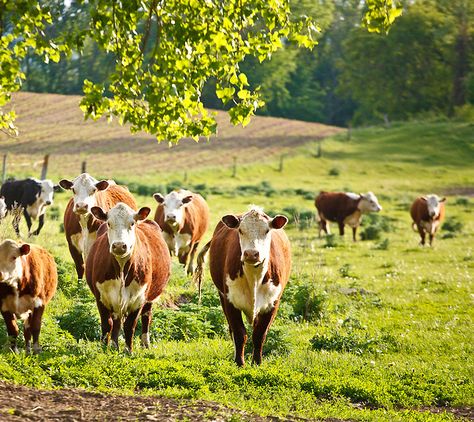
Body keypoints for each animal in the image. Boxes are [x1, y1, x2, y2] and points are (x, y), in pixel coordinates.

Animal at [86, 203, 171, 352]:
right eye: (109, 223)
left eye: (132, 223)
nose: (119, 246)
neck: (121, 269)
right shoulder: (101, 297)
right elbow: (107, 324)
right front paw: (104, 349)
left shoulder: (139, 298)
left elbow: (130, 325)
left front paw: (128, 351)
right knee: (116, 321)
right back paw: (114, 345)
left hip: (150, 298)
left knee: (146, 317)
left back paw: (145, 343)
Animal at [194, 207, 290, 366]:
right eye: (240, 230)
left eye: (267, 231)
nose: (251, 254)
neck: (254, 277)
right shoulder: (230, 301)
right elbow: (239, 333)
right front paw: (239, 362)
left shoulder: (273, 303)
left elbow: (259, 334)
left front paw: (257, 362)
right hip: (222, 296)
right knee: (232, 330)